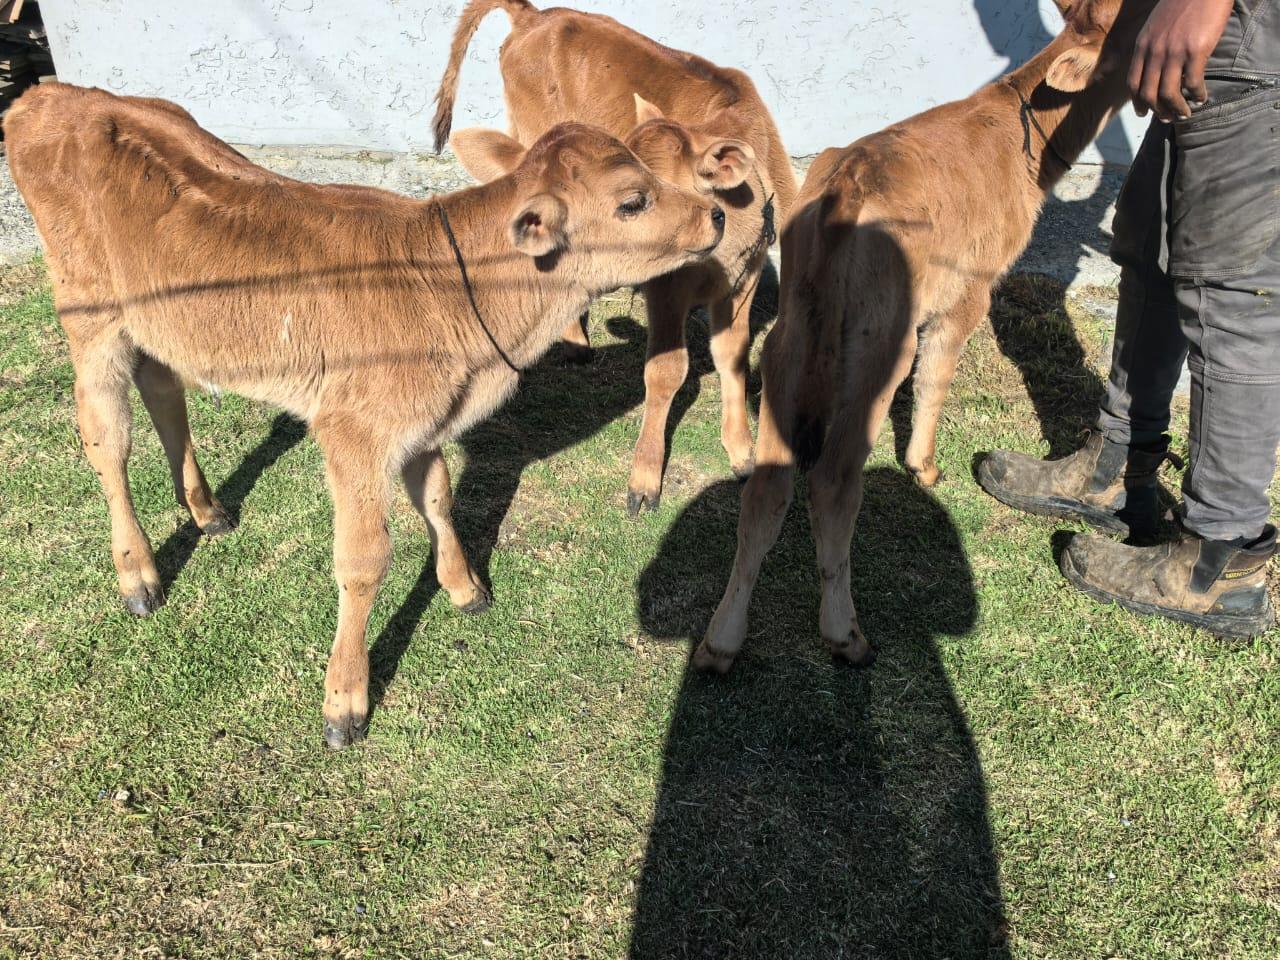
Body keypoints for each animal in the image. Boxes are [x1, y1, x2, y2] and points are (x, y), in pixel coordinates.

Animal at [5, 83, 724, 747]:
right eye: (633, 200)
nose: (716, 213)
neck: (457, 292)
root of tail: (54, 94)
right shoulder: (353, 432)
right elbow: (364, 560)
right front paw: (344, 699)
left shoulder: (423, 421)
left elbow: (437, 499)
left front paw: (465, 588)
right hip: (89, 315)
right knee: (107, 441)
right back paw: (138, 575)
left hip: (157, 323)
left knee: (164, 394)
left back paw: (206, 510)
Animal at [432, 0, 800, 514]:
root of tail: (534, 16)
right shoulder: (667, 288)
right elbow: (666, 370)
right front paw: (645, 478)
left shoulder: (744, 277)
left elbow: (732, 355)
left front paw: (743, 451)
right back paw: (574, 341)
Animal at [698, 0, 1160, 672]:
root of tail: (847, 186)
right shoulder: (970, 290)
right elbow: (937, 378)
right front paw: (925, 466)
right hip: (879, 338)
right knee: (832, 479)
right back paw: (845, 633)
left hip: (792, 331)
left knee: (767, 486)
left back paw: (721, 641)